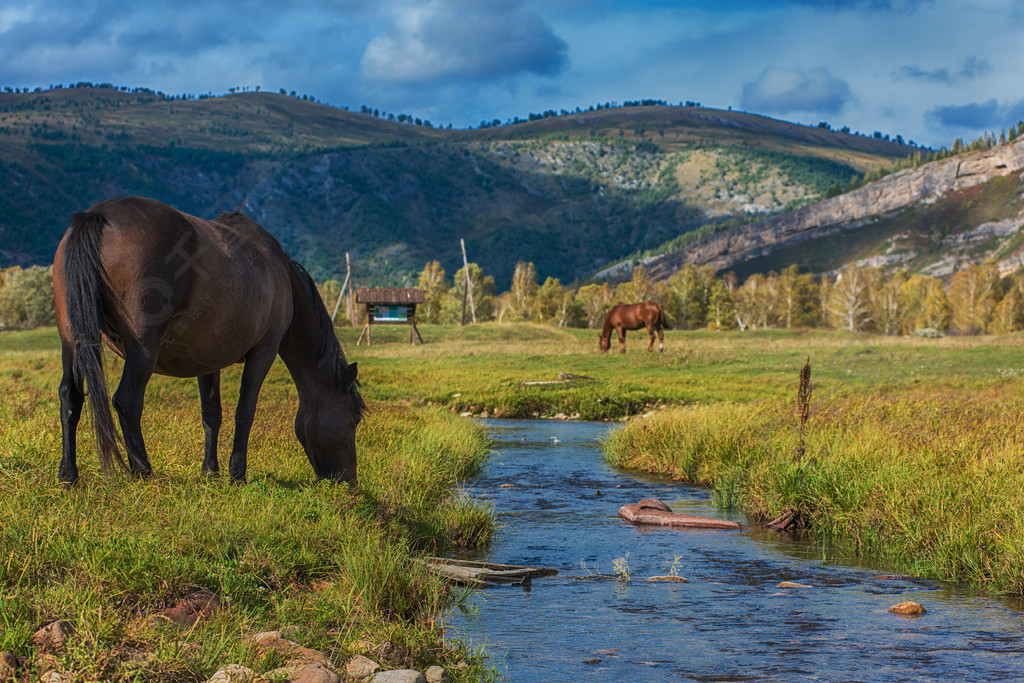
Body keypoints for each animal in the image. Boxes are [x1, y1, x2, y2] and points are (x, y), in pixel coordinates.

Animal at [51, 196, 366, 485]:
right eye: (354, 418)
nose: (349, 481)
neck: (279, 273)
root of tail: (98, 215)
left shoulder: (206, 360)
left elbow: (212, 415)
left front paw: (210, 471)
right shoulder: (263, 352)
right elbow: (245, 411)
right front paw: (237, 473)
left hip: (72, 341)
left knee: (70, 396)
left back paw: (68, 474)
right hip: (142, 350)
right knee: (127, 401)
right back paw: (143, 471)